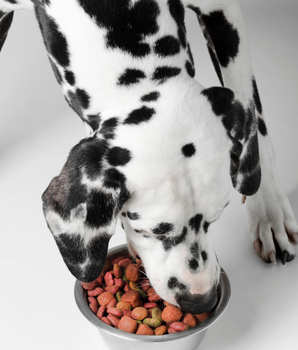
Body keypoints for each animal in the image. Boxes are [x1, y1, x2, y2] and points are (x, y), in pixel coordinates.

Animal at [1, 0, 296, 314]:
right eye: (151, 231)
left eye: (215, 219)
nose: (200, 300)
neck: (115, 12)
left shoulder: (223, 11)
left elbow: (254, 111)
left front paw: (269, 212)